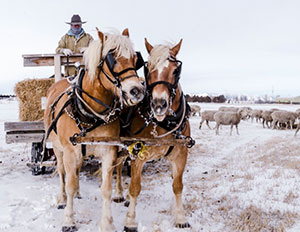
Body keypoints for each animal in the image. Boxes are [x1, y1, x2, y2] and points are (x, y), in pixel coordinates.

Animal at [43, 29, 145, 232]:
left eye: (134, 58)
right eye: (112, 59)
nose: (137, 91)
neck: (89, 113)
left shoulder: (108, 151)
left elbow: (106, 188)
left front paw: (107, 223)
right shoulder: (69, 151)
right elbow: (68, 183)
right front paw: (69, 220)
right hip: (58, 149)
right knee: (63, 173)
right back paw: (63, 199)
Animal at [117, 38, 192, 230]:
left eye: (175, 70)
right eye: (148, 68)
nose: (159, 105)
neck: (163, 123)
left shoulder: (181, 155)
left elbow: (177, 186)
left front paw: (180, 217)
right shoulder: (138, 156)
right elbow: (135, 187)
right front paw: (130, 221)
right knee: (118, 167)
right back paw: (119, 193)